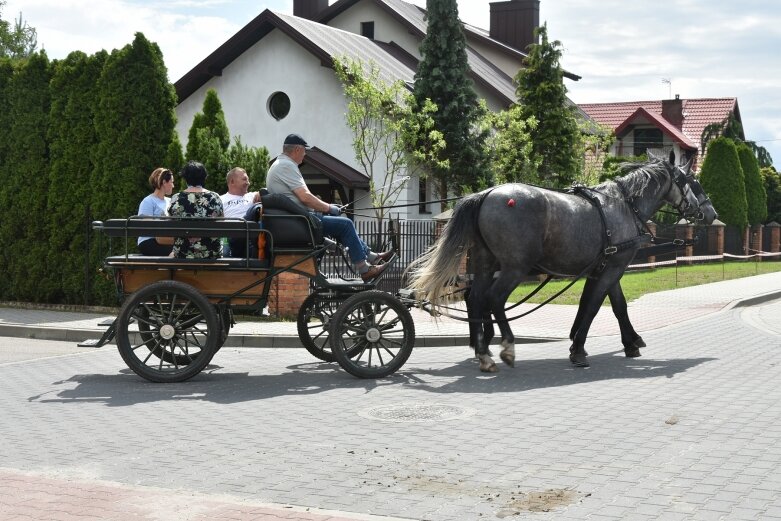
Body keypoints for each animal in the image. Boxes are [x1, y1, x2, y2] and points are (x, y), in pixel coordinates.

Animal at [408, 154, 720, 370]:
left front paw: (630, 342)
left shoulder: (607, 268)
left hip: (485, 264)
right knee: (494, 299)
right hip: (515, 267)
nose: (710, 213)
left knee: (475, 298)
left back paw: (483, 351)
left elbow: (615, 305)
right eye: (693, 183)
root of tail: (486, 193)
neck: (622, 206)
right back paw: (505, 346)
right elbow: (594, 307)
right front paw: (579, 349)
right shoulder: (614, 267)